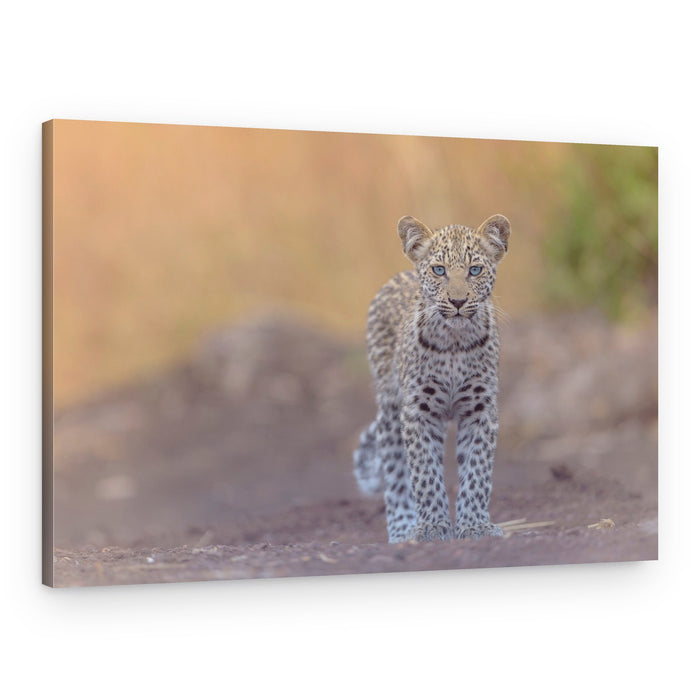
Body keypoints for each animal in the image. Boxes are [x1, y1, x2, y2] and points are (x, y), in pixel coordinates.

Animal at [353, 213, 511, 543]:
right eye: (439, 270)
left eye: (475, 270)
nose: (458, 302)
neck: (453, 341)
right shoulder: (418, 410)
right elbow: (424, 472)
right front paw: (433, 527)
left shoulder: (480, 409)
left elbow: (477, 471)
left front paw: (474, 526)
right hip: (390, 407)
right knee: (395, 469)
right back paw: (403, 530)